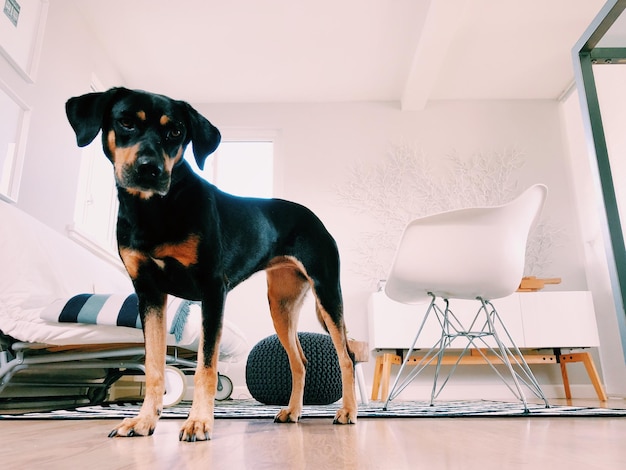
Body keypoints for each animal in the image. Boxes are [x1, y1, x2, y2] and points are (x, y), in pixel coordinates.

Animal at [64, 87, 356, 440]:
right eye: (126, 122)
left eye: (176, 132)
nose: (150, 169)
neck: (155, 210)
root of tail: (314, 218)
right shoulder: (149, 293)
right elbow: (154, 365)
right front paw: (144, 420)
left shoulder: (213, 290)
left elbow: (206, 366)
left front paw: (198, 422)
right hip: (281, 304)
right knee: (299, 361)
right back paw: (294, 412)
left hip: (327, 292)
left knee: (346, 357)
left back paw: (348, 412)